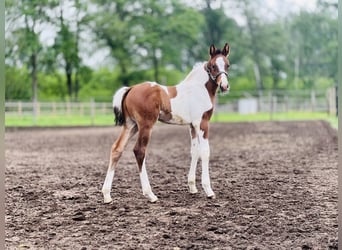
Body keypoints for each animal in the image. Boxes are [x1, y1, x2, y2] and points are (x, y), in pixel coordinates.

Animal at [101, 43, 230, 203]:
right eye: (213, 66)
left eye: (227, 65)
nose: (225, 86)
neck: (199, 89)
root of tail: (131, 89)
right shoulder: (202, 123)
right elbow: (205, 152)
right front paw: (209, 190)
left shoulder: (192, 126)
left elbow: (194, 151)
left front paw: (192, 187)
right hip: (145, 125)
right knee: (139, 151)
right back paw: (150, 194)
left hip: (131, 125)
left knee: (117, 149)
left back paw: (107, 195)